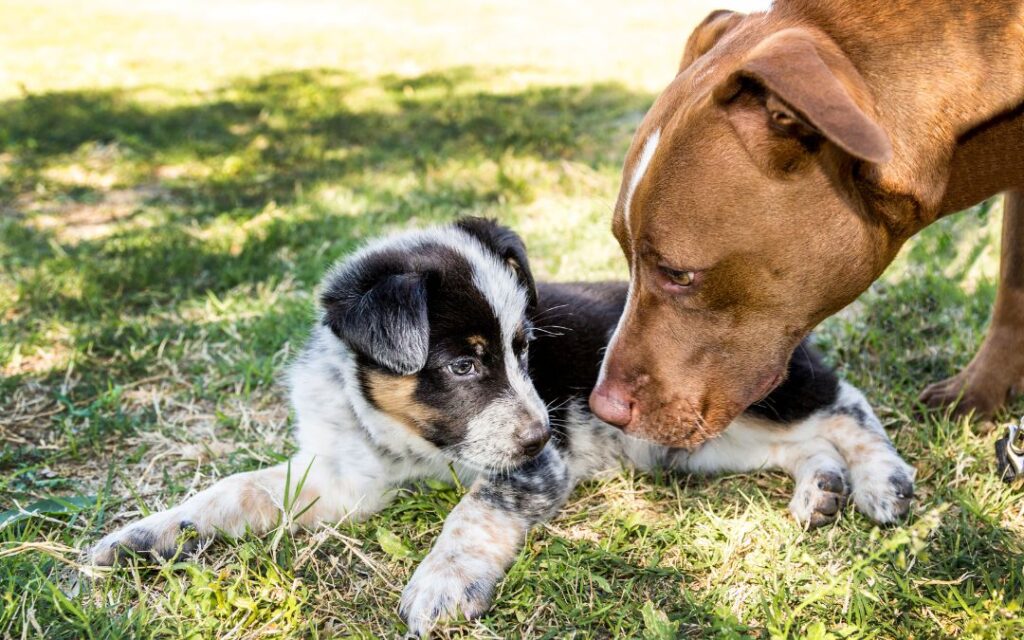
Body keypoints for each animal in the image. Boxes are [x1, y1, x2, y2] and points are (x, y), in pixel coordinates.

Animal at [92, 218, 917, 634]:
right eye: (464, 364)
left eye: (525, 349)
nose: (541, 435)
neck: (411, 441)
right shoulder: (343, 477)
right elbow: (236, 491)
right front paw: (144, 537)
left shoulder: (529, 470)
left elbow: (471, 512)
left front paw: (442, 583)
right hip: (696, 445)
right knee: (805, 445)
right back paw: (822, 490)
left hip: (760, 395)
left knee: (846, 404)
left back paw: (883, 482)